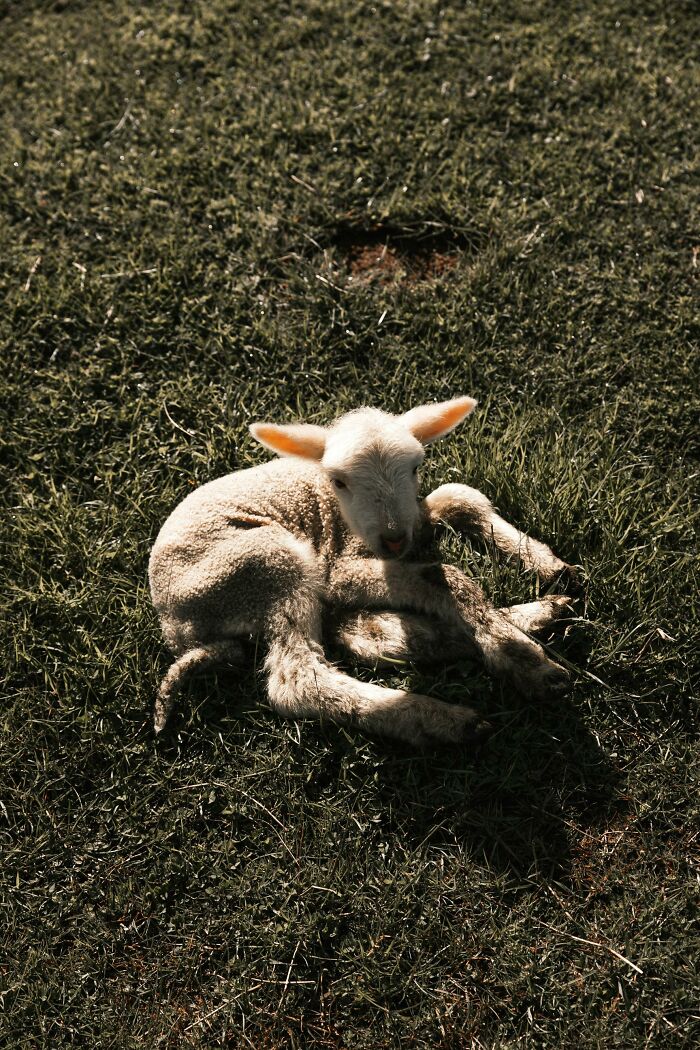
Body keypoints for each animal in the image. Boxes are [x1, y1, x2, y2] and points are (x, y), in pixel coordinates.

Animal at [149, 396, 575, 747]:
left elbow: (458, 496)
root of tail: (176, 629)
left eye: (416, 467)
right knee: (299, 678)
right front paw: (525, 660)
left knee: (371, 635)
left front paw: (543, 562)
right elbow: (445, 576)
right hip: (261, 565)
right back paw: (440, 719)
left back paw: (538, 613)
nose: (394, 540)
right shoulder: (335, 568)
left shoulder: (412, 518)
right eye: (338, 481)